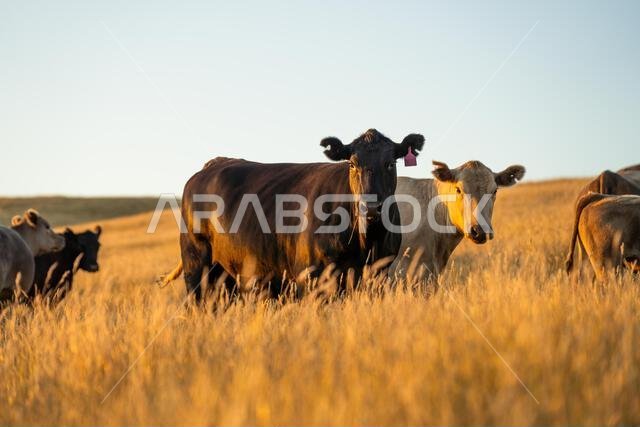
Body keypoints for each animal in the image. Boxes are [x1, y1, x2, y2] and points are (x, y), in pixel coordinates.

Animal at [164, 129, 425, 302]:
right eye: (352, 164)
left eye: (390, 163)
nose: (370, 207)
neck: (366, 241)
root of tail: (213, 164)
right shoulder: (312, 277)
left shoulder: (379, 273)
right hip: (197, 265)